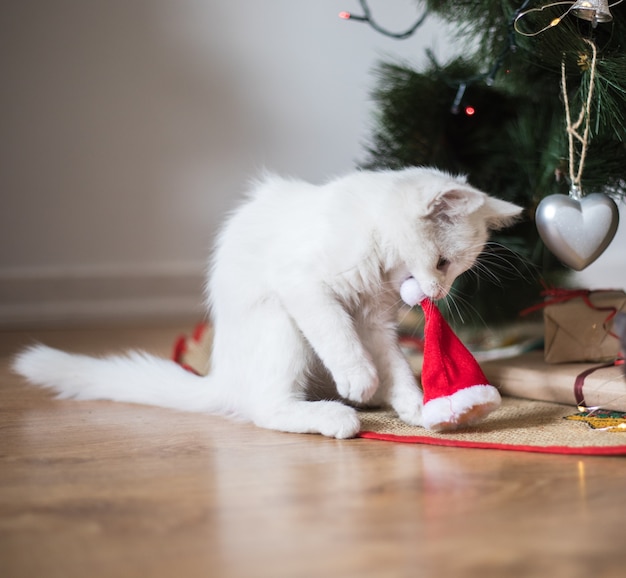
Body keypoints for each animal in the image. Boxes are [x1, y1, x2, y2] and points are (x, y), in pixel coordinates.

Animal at [15, 166, 520, 436]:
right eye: (442, 263)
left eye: (454, 269)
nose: (438, 294)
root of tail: (221, 378)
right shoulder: (304, 285)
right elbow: (338, 336)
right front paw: (360, 377)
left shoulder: (375, 324)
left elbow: (396, 369)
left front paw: (418, 407)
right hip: (280, 323)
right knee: (265, 409)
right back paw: (338, 414)